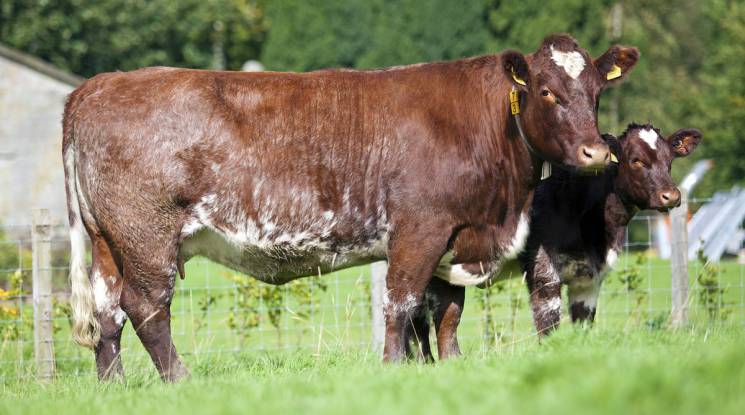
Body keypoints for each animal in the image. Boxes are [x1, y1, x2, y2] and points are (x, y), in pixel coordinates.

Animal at [62, 34, 640, 382]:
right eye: (546, 92)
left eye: (595, 93)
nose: (595, 153)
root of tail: (100, 82)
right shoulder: (420, 231)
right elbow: (402, 304)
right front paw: (393, 368)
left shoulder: (455, 238)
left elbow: (448, 311)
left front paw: (451, 367)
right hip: (147, 236)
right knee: (147, 307)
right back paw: (179, 381)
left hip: (108, 242)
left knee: (108, 314)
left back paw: (113, 387)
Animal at [406, 122, 696, 360]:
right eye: (635, 160)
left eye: (669, 159)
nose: (671, 195)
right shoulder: (544, 272)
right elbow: (548, 325)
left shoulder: (590, 278)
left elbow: (583, 324)